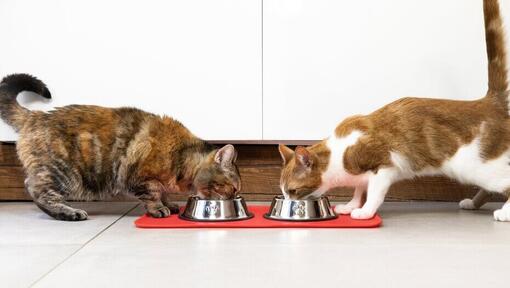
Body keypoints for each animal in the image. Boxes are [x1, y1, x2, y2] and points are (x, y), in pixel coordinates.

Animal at [0, 75, 240, 222]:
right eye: (233, 187)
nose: (235, 195)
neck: (180, 156)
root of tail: (35, 116)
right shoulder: (142, 178)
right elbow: (153, 194)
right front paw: (158, 209)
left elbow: (163, 193)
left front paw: (170, 204)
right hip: (66, 174)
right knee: (36, 189)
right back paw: (68, 213)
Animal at [278, 0, 510, 222]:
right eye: (284, 190)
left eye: (293, 190)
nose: (287, 200)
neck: (339, 153)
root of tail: (488, 101)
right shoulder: (362, 174)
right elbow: (359, 189)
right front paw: (351, 205)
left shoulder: (383, 168)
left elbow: (373, 194)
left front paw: (365, 212)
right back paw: (472, 203)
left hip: (475, 166)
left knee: (505, 182)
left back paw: (504, 214)